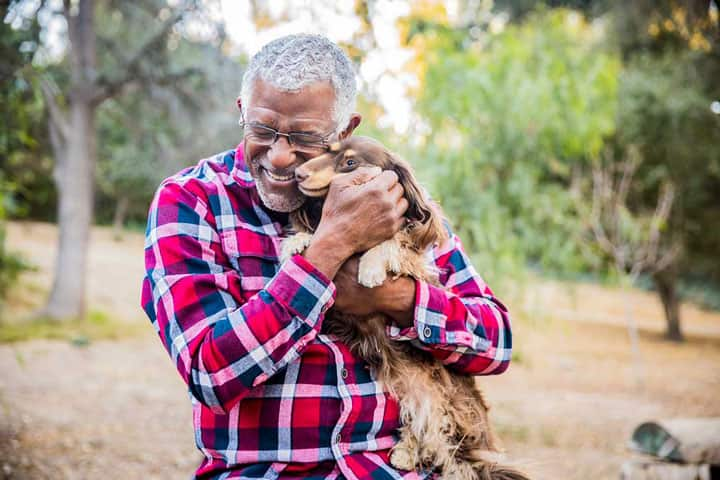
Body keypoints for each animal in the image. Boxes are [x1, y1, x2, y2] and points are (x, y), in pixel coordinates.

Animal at [282, 137, 528, 478]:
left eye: (349, 163)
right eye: (326, 151)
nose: (299, 174)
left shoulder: (415, 262)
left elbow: (392, 244)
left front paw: (371, 266)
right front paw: (298, 241)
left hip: (441, 400)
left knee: (441, 438)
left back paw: (409, 453)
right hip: (412, 392)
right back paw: (405, 454)